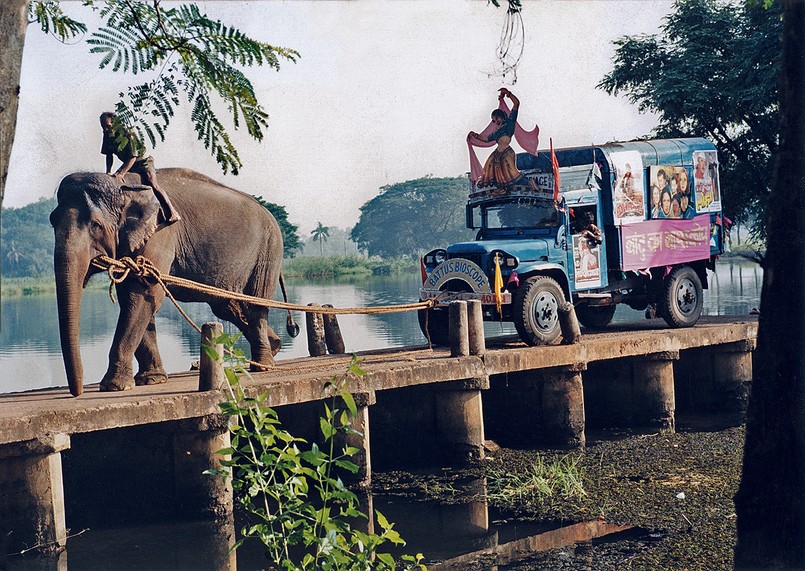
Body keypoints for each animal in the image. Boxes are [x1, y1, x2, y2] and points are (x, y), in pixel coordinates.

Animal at [48, 168, 292, 396]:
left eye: (96, 225)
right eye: (52, 222)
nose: (77, 392)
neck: (124, 185)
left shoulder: (160, 233)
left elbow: (142, 294)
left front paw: (114, 386)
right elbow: (135, 297)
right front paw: (151, 380)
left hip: (269, 249)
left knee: (255, 304)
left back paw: (264, 366)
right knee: (227, 306)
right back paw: (274, 347)